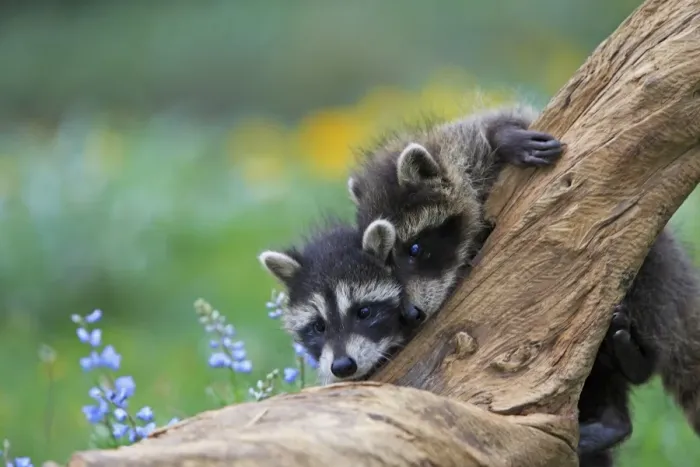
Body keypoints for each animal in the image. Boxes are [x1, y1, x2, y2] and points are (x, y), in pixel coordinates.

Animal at [346, 106, 700, 466]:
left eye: (414, 249)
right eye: (386, 265)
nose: (409, 316)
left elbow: (500, 121)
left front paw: (504, 137)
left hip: (652, 269)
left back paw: (639, 360)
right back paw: (612, 418)